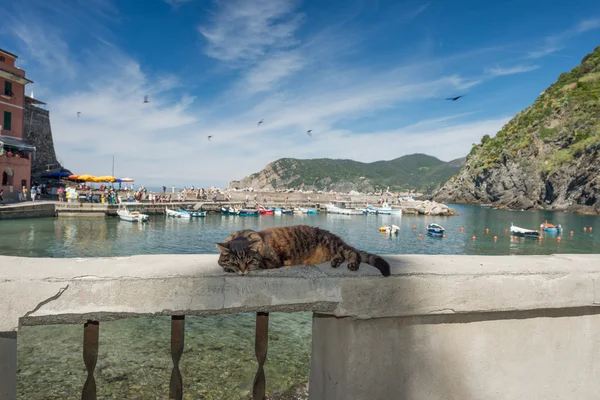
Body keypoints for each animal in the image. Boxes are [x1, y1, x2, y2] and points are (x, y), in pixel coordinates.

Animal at [218, 225, 392, 278]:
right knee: (341, 256)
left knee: (352, 253)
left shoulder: (272, 261)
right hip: (332, 249)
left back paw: (353, 264)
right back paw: (335, 262)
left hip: (331, 243)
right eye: (235, 261)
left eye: (248, 261)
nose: (242, 271)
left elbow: (259, 264)